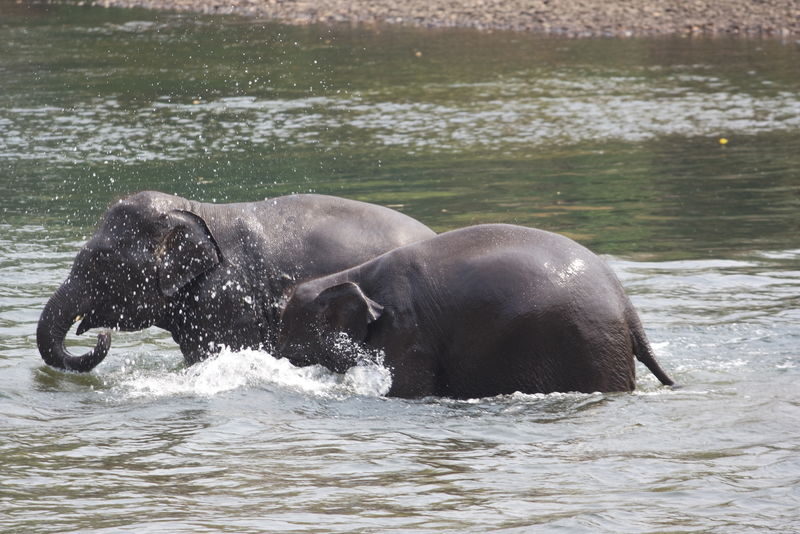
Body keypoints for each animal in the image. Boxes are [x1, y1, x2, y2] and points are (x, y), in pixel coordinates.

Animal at [277, 224, 674, 399]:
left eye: (287, 335)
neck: (355, 274)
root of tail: (627, 308)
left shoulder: (409, 333)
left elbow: (407, 389)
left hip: (589, 345)